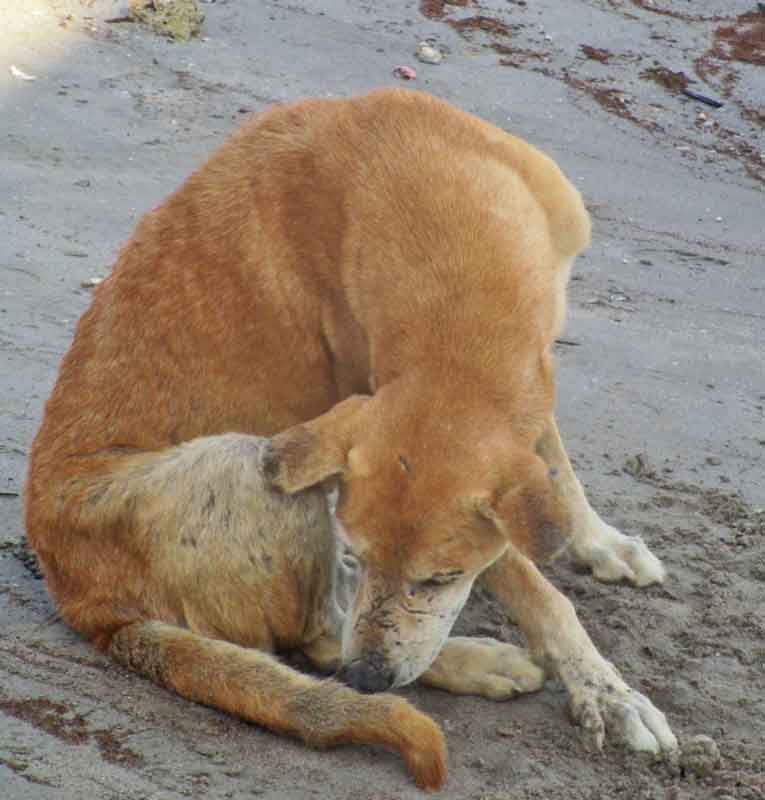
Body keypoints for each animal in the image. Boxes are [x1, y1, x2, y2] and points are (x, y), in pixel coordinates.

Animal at [26, 89, 676, 788]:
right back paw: (471, 661)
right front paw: (607, 692)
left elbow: (557, 474)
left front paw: (598, 543)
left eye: (440, 579)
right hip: (250, 464)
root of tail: (84, 603)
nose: (368, 679)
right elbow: (536, 589)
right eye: (362, 554)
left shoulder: (533, 373)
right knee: (319, 642)